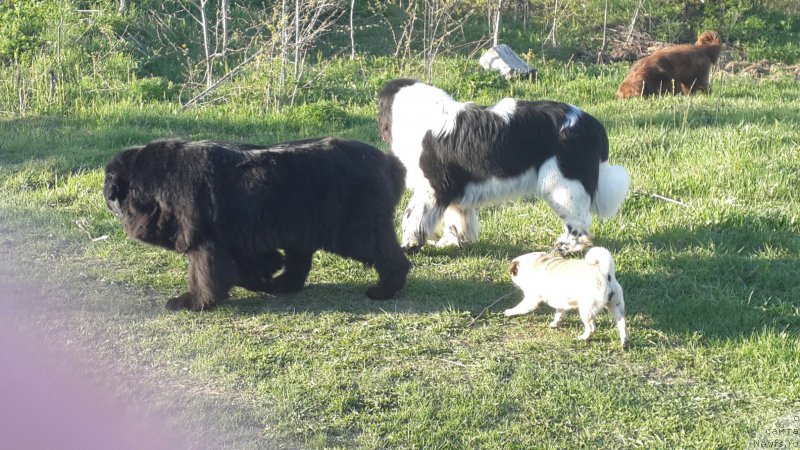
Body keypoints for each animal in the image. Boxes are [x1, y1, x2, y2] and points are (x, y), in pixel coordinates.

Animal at [103, 139, 410, 312]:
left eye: (109, 180)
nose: (105, 193)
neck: (154, 187)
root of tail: (388, 161)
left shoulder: (206, 240)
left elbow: (203, 273)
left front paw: (193, 302)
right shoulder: (238, 238)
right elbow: (251, 264)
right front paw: (262, 279)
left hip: (354, 228)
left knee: (387, 255)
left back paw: (385, 289)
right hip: (302, 225)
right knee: (299, 262)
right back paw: (283, 284)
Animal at [378, 78, 628, 253]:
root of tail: (593, 124)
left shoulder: (432, 187)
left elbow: (412, 216)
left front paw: (409, 246)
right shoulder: (453, 188)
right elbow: (457, 218)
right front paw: (454, 242)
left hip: (562, 185)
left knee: (578, 222)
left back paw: (568, 248)